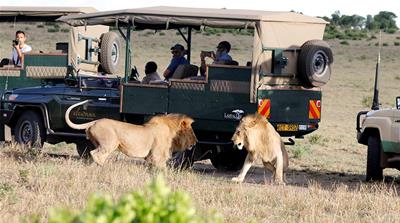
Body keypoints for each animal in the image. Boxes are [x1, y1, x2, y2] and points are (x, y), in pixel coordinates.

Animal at [65, 100, 198, 168]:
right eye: (191, 131)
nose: (196, 142)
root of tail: (95, 121)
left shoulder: (150, 157)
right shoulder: (157, 155)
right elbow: (162, 169)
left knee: (92, 154)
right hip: (109, 144)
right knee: (95, 154)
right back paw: (105, 167)